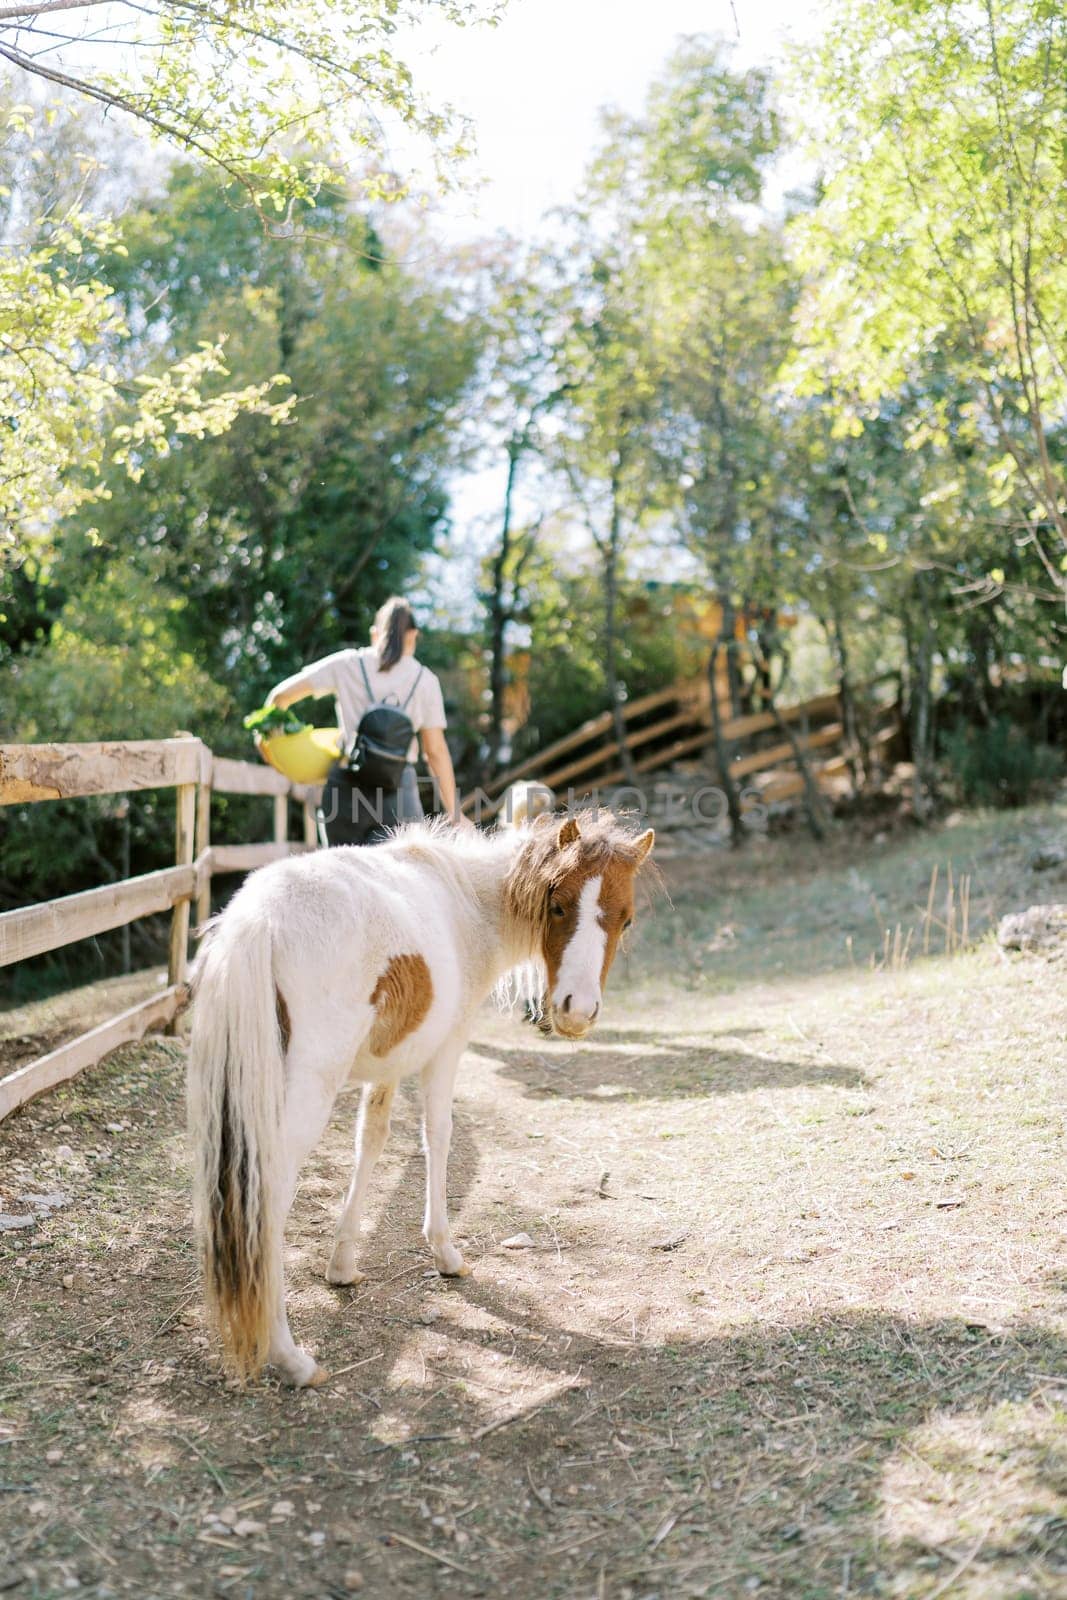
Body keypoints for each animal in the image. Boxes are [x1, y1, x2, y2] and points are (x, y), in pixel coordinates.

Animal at [185, 812, 652, 1388]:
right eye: (558, 904)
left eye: (626, 921)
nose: (577, 1011)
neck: (467, 901)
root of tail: (258, 919)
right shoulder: (445, 1048)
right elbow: (439, 1136)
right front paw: (445, 1252)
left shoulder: (387, 1062)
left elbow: (371, 1141)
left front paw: (342, 1266)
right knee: (265, 1202)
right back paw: (288, 1356)